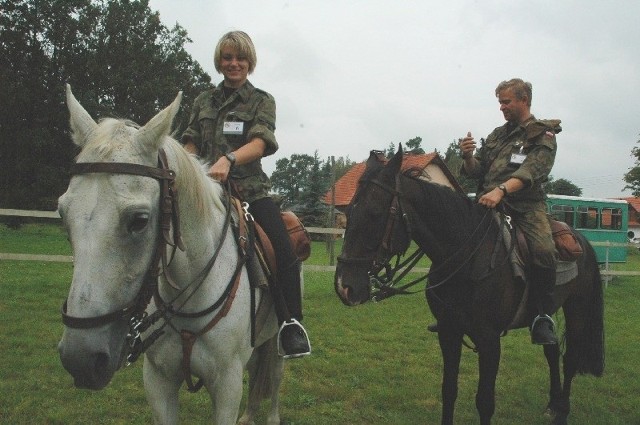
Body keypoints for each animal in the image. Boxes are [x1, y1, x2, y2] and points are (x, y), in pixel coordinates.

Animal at [57, 83, 282, 424]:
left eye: (139, 220)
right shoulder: (159, 381)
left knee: (275, 373)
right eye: (62, 214)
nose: (81, 359)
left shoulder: (227, 386)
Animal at [336, 147, 604, 424]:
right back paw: (552, 403)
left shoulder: (489, 341)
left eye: (375, 213)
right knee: (551, 349)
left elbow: (485, 402)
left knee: (570, 358)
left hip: (577, 309)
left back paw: (562, 411)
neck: (468, 258)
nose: (345, 287)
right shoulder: (448, 331)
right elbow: (448, 390)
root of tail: (582, 241)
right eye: (348, 213)